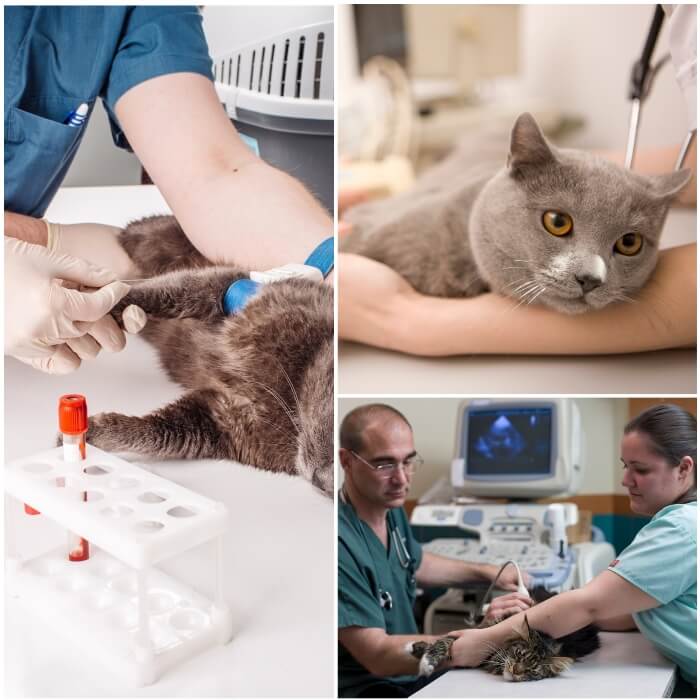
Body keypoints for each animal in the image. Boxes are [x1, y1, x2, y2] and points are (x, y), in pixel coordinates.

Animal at [82, 217, 334, 498]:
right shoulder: (233, 288)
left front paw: (95, 431)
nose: (323, 483)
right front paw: (96, 304)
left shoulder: (220, 422)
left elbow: (156, 432)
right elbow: (169, 292)